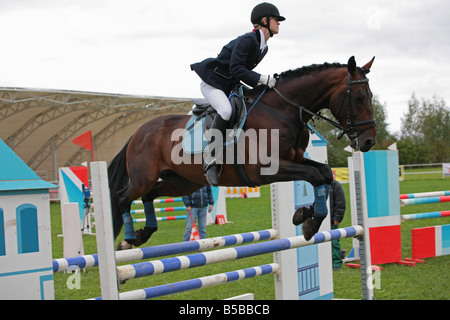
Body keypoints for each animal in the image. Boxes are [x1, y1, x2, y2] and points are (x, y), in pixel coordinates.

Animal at [108, 56, 376, 249]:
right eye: (359, 97)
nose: (369, 141)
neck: (281, 110)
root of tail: (138, 132)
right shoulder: (266, 170)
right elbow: (315, 176)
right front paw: (309, 221)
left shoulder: (296, 160)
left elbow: (325, 174)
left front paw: (305, 215)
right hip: (144, 178)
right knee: (123, 198)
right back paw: (129, 238)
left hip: (182, 182)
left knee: (149, 196)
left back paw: (142, 235)